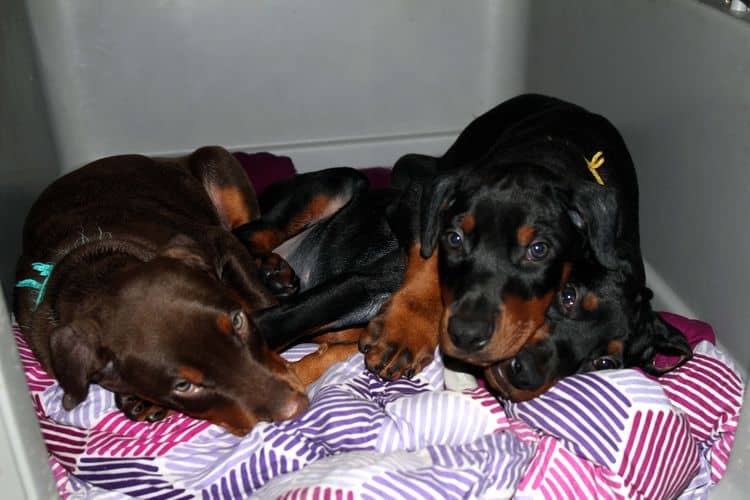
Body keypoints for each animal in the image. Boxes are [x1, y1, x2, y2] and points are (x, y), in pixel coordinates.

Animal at [14, 146, 314, 436]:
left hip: (217, 162)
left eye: (238, 321)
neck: (92, 269)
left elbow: (259, 297)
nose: (295, 408)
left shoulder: (216, 240)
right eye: (183, 386)